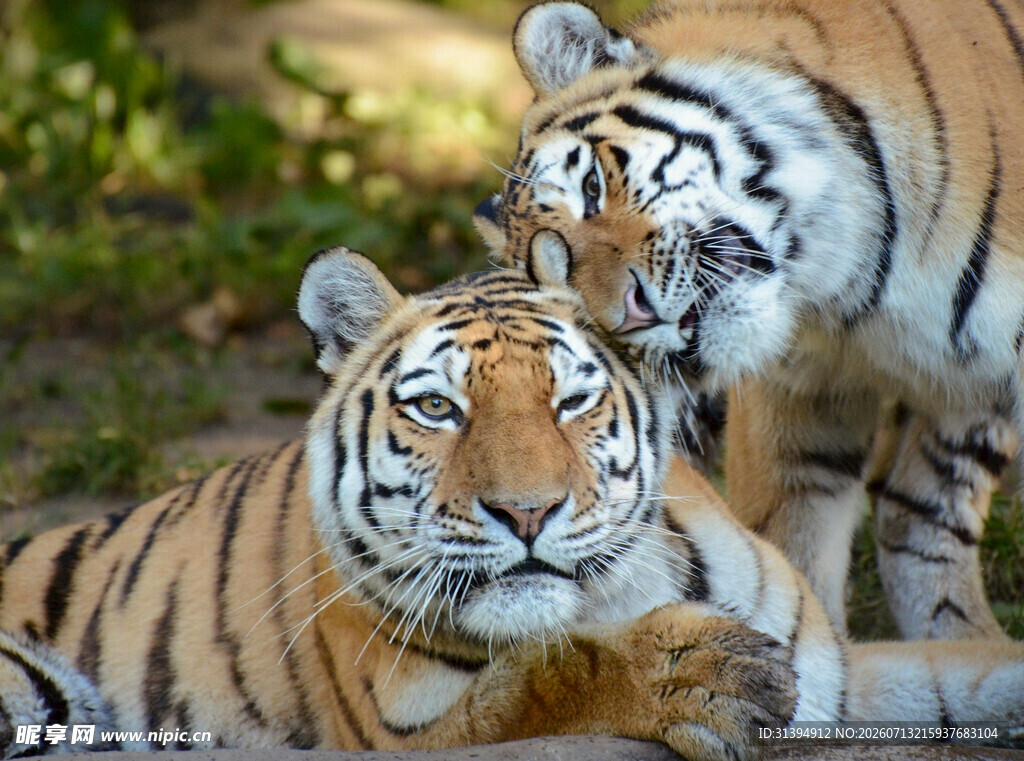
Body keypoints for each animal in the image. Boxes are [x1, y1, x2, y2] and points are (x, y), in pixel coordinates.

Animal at [2, 248, 1023, 759]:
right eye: (437, 409)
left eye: (570, 400)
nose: (526, 513)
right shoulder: (400, 734)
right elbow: (538, 680)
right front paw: (693, 674)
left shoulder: (841, 671)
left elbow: (971, 677)